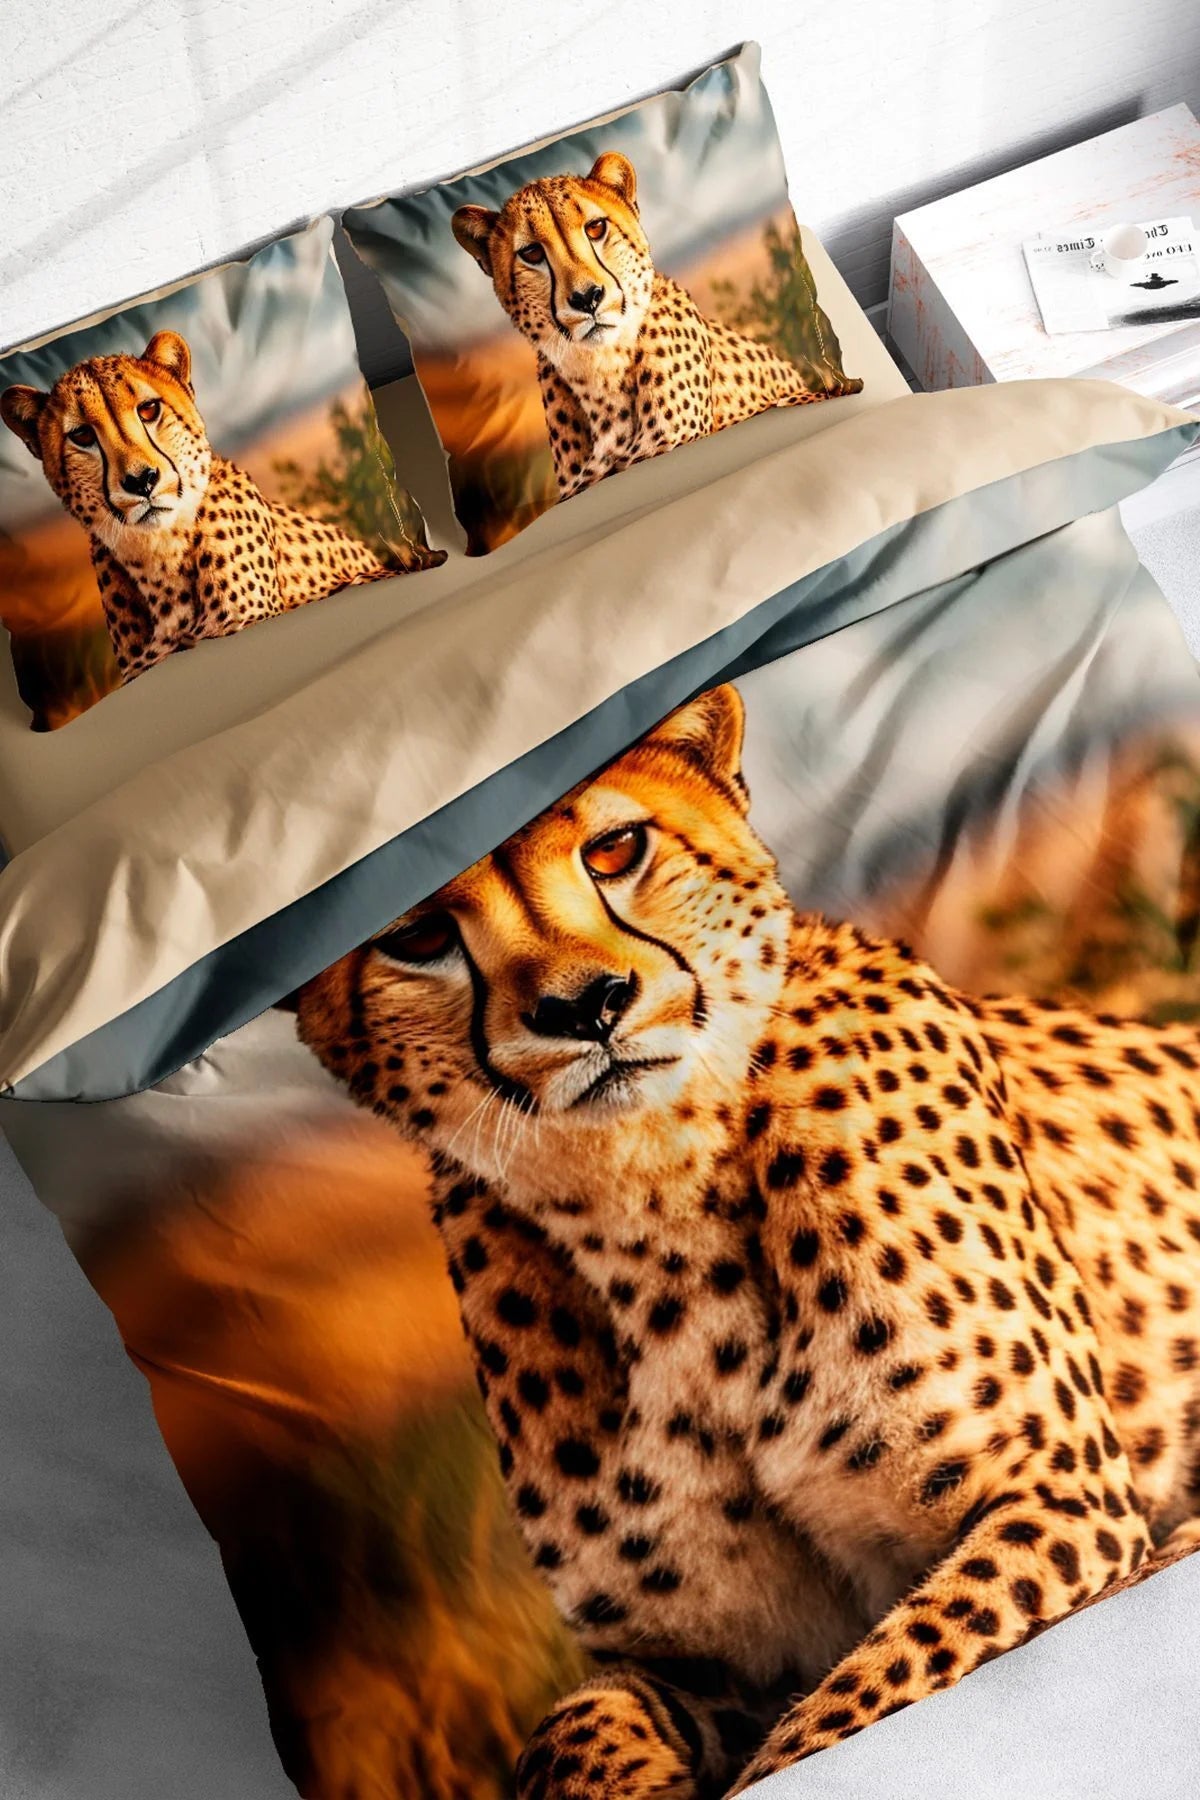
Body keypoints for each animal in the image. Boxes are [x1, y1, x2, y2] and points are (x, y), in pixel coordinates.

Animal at [295, 681, 1200, 1799]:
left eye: (615, 848)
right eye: (418, 935)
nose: (586, 1006)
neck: (655, 1218)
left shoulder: (1059, 1493)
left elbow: (847, 1714)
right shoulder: (712, 1659)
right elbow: (574, 1731)